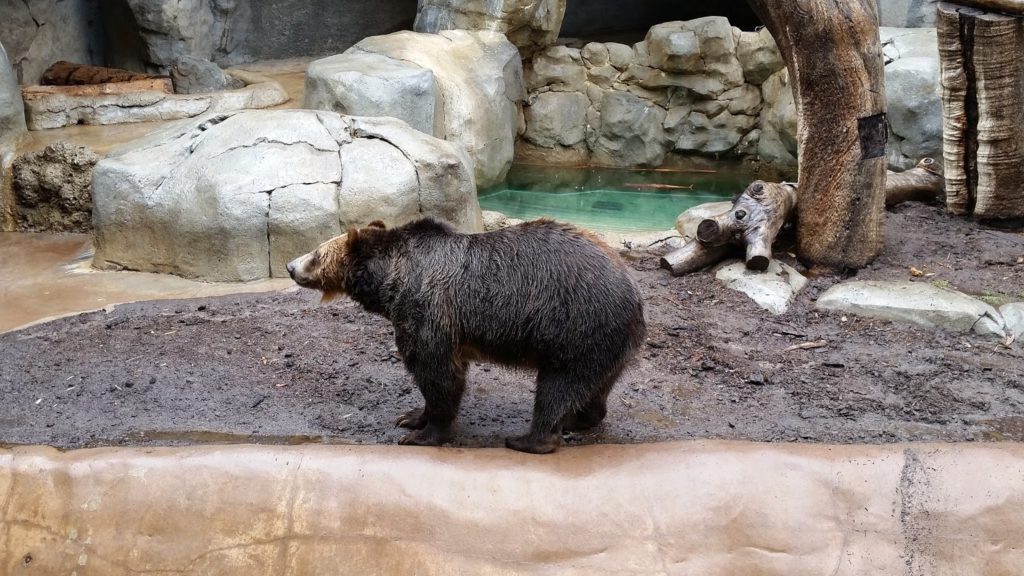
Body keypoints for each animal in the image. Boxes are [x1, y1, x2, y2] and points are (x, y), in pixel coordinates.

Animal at [286, 217, 647, 454]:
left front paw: (422, 434)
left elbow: (438, 374)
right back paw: (578, 419)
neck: (391, 282)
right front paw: (410, 416)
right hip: (605, 342)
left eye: (315, 253)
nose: (290, 265)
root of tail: (634, 292)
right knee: (597, 384)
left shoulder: (429, 311)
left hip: (576, 326)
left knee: (558, 385)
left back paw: (529, 439)